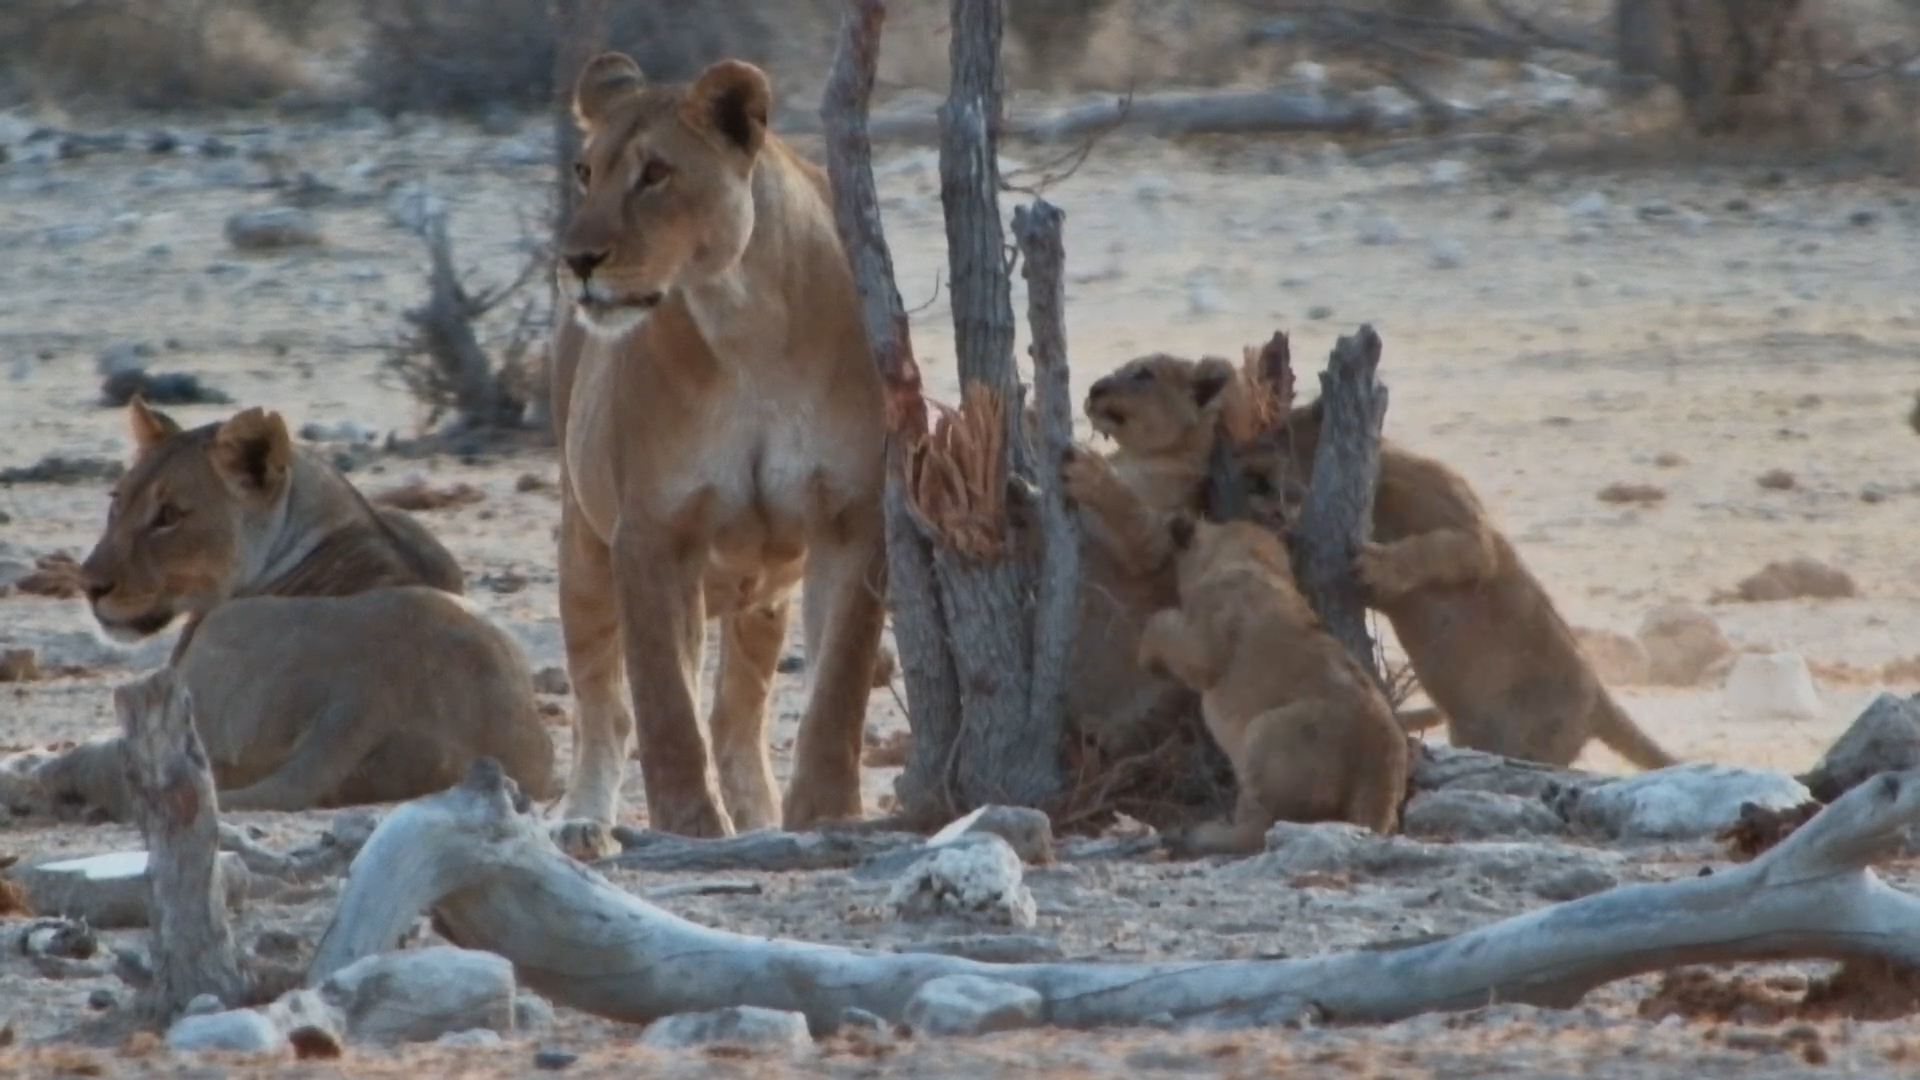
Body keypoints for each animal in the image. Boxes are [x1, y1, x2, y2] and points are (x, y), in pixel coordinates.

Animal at [547, 53, 888, 853]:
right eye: (585, 171)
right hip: (583, 541)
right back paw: (582, 823)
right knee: (602, 705)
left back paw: (759, 819)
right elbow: (662, 701)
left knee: (738, 716)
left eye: (656, 173)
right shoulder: (652, 530)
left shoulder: (852, 518)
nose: (575, 260)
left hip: (761, 598)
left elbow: (838, 687)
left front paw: (824, 813)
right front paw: (690, 828)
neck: (744, 319)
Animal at [1137, 514, 1407, 853]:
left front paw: (1145, 653)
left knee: (1260, 829)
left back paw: (1201, 833)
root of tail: (1382, 767)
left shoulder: (1202, 644)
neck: (1253, 559)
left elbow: (1164, 622)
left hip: (1264, 736)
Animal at [1256, 400, 1678, 769]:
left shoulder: (1470, 531)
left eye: (1280, 436)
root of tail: (1598, 698)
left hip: (1542, 732)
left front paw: (1374, 566)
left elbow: (1433, 549)